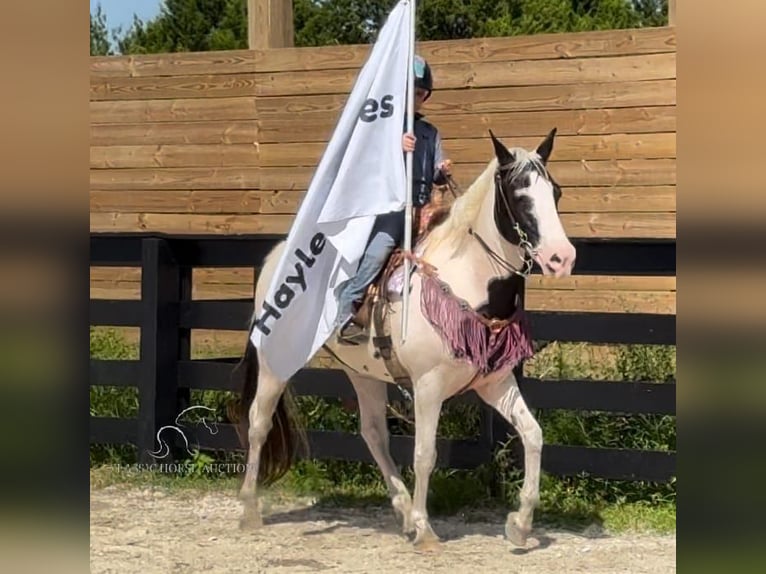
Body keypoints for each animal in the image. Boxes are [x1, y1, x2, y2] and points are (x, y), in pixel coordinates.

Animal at [231, 128, 580, 552]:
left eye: (556, 192)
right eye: (519, 194)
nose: (562, 258)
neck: (463, 277)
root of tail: (276, 256)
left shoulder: (494, 382)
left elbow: (532, 434)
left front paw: (521, 523)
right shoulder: (428, 385)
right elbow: (425, 453)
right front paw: (426, 529)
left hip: (362, 373)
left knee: (373, 433)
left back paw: (400, 509)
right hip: (275, 363)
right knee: (258, 422)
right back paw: (250, 509)